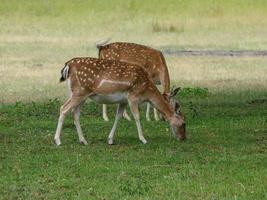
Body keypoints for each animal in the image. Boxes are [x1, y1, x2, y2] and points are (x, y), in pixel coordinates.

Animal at [54, 56, 186, 145]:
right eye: (184, 123)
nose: (183, 138)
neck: (146, 91)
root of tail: (68, 65)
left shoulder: (123, 100)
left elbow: (118, 117)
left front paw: (110, 139)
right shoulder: (133, 96)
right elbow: (137, 116)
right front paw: (143, 139)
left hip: (81, 94)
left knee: (75, 113)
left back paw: (83, 140)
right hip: (79, 92)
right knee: (63, 108)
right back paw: (58, 140)